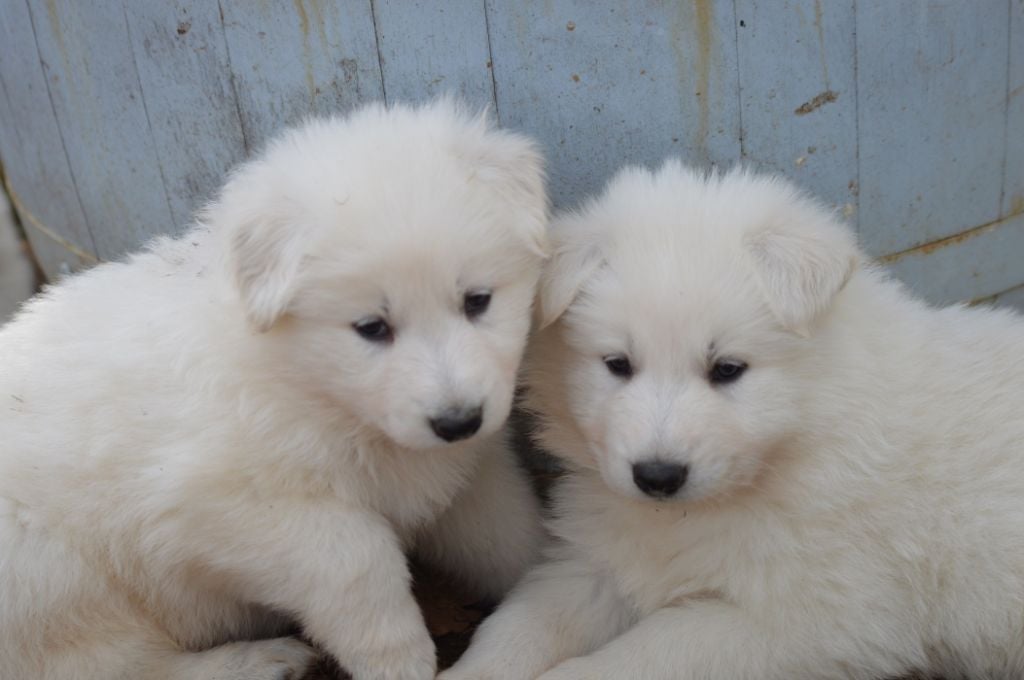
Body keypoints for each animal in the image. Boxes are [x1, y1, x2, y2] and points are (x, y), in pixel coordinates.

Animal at [0, 99, 552, 680]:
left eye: (478, 300)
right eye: (371, 328)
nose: (458, 422)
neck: (310, 385)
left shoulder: (465, 476)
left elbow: (503, 531)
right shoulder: (223, 506)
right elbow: (359, 560)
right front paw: (398, 662)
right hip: (52, 577)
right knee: (119, 665)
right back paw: (258, 659)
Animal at [446, 161, 1024, 675]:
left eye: (727, 369)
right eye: (618, 364)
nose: (657, 477)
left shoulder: (805, 617)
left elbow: (649, 653)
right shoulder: (597, 559)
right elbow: (519, 622)